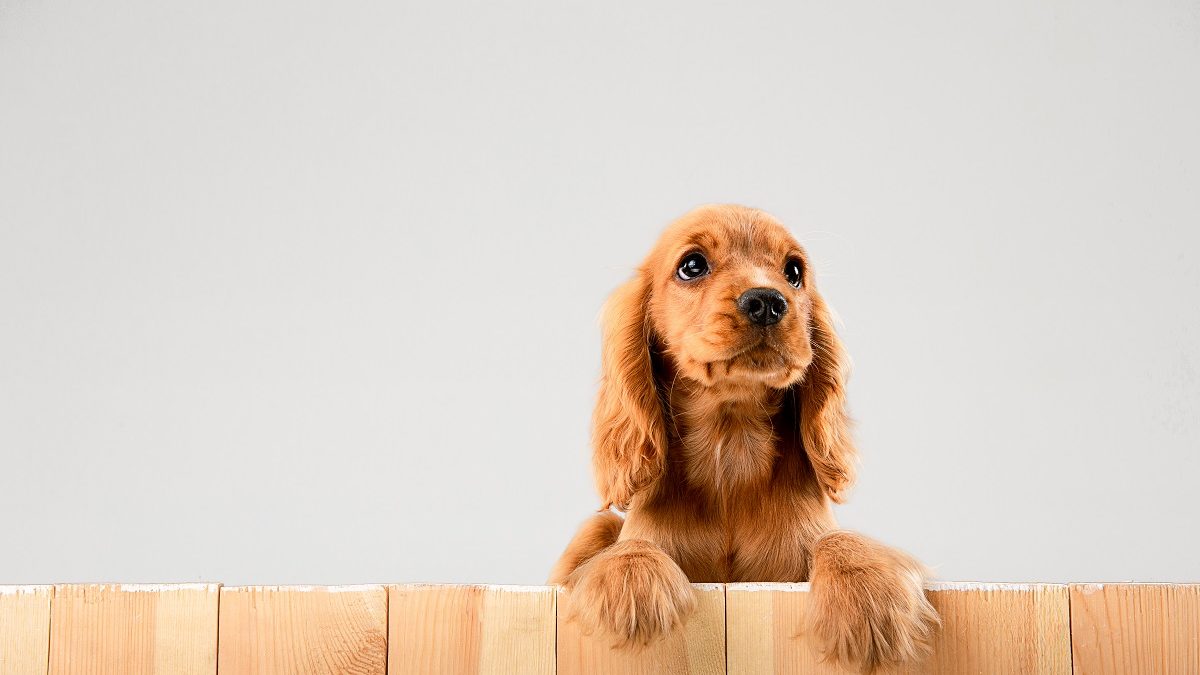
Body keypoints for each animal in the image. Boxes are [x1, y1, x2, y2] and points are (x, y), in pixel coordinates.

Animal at [552, 204, 936, 667]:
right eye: (692, 265)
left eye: (794, 271)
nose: (767, 302)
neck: (731, 442)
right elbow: (633, 545)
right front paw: (631, 586)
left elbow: (838, 538)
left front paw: (867, 593)